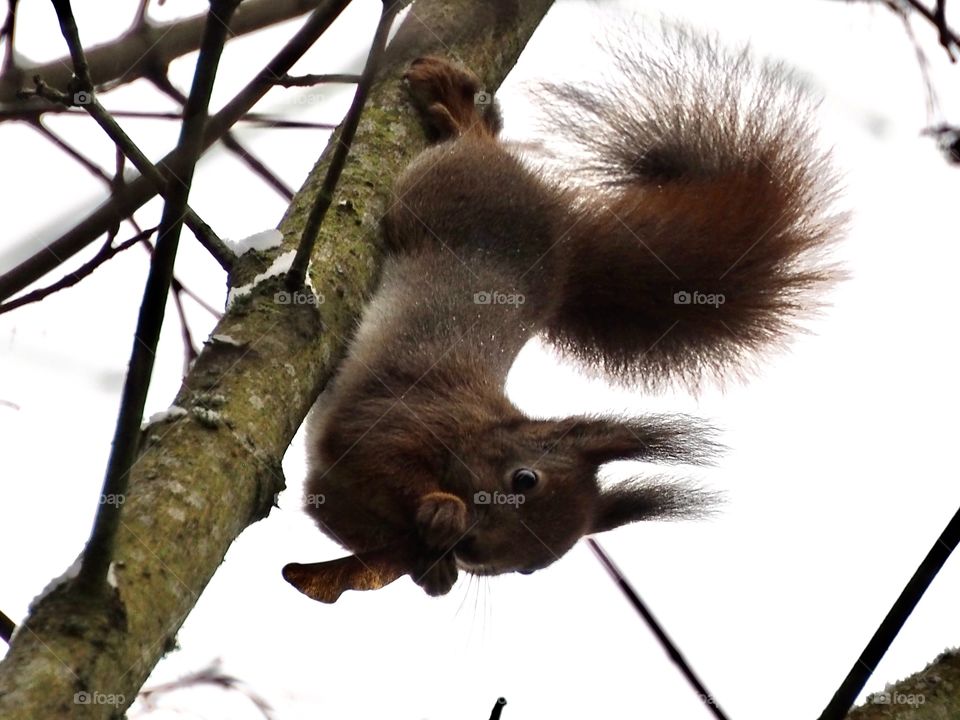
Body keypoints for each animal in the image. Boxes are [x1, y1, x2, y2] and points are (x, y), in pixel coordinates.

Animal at [283, 26, 842, 603]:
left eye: (531, 569)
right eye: (524, 479)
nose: (472, 551)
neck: (476, 429)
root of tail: (569, 239)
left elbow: (343, 516)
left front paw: (433, 568)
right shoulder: (400, 414)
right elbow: (364, 450)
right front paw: (441, 511)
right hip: (443, 191)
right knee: (471, 150)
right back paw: (463, 116)